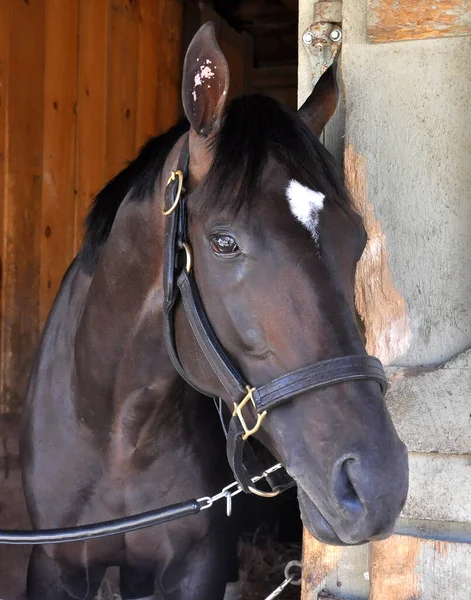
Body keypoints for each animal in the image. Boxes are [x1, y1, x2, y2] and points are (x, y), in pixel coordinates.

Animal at [19, 22, 410, 600]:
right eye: (224, 242)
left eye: (357, 239)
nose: (377, 482)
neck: (118, 431)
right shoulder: (54, 564)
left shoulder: (195, 566)